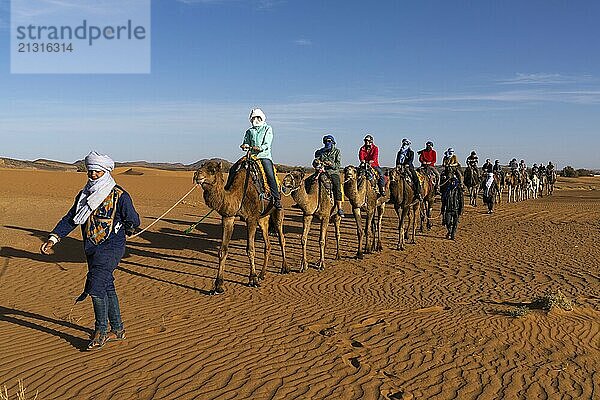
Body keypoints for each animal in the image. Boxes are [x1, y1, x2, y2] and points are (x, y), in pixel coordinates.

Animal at [192, 159, 286, 294]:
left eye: (212, 170)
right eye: (202, 166)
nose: (196, 175)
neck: (239, 194)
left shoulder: (251, 219)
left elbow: (250, 249)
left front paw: (253, 279)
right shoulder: (228, 216)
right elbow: (223, 250)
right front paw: (218, 286)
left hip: (277, 210)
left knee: (281, 238)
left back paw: (284, 268)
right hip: (262, 218)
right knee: (267, 244)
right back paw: (262, 274)